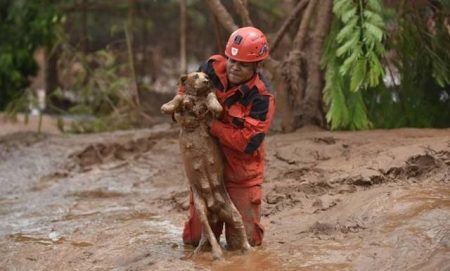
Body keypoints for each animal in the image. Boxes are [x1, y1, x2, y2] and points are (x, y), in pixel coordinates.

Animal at [160, 73, 251, 262]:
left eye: (206, 76)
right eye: (196, 76)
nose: (207, 81)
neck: (196, 98)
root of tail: (215, 208)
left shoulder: (212, 106)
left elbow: (211, 96)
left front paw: (214, 105)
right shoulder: (183, 108)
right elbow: (179, 97)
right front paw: (168, 106)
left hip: (233, 213)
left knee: (237, 229)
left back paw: (243, 250)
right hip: (200, 210)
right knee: (209, 234)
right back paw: (211, 253)